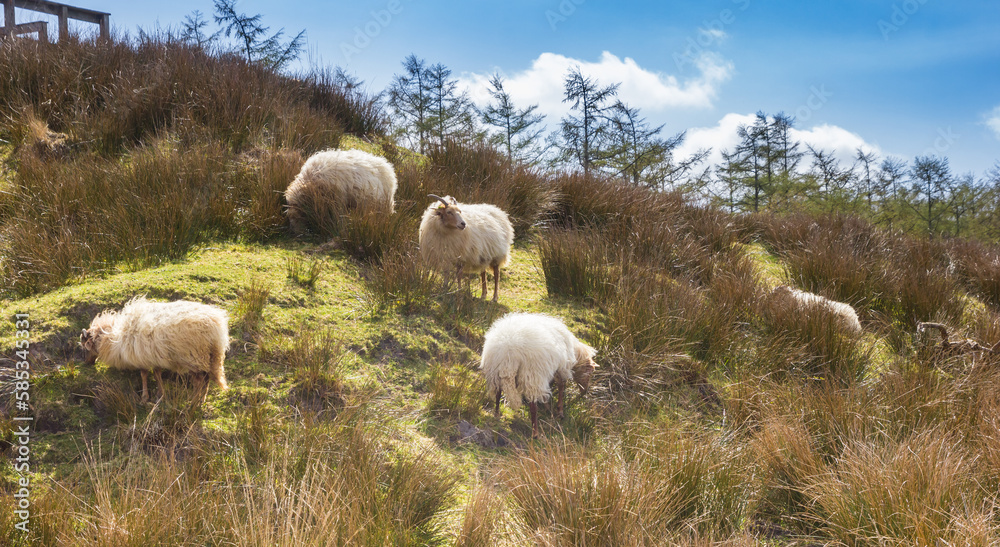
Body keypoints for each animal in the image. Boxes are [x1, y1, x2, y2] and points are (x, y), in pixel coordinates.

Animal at [80, 296, 230, 403]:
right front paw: (160, 394)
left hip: (194, 356)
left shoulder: (142, 358)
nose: (86, 362)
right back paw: (201, 400)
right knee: (206, 378)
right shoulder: (154, 357)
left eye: (85, 348)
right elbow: (157, 375)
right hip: (206, 357)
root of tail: (216, 328)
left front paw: (145, 397)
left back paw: (193, 400)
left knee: (200, 380)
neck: (111, 338)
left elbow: (144, 375)